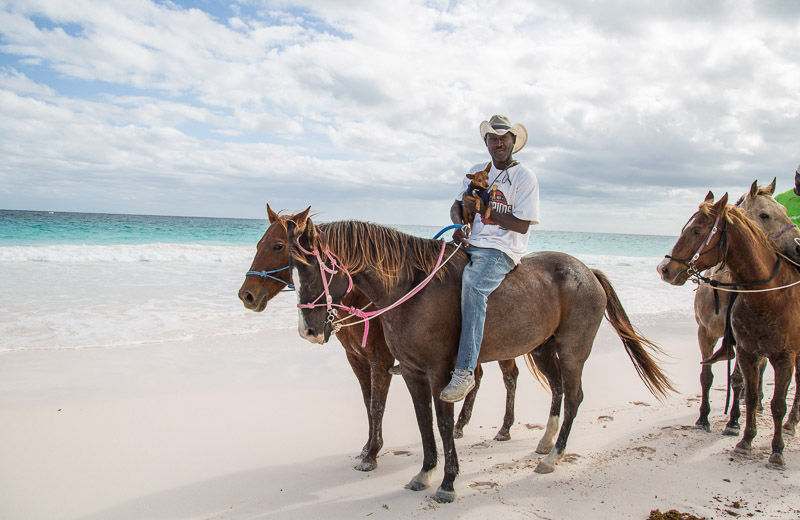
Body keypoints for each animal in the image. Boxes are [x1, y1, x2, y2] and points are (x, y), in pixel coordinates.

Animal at [236, 206, 524, 472]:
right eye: (259, 244)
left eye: (278, 246)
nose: (246, 295)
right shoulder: (357, 358)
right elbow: (368, 402)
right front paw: (367, 446)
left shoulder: (381, 360)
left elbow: (376, 404)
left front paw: (372, 453)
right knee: (477, 376)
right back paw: (461, 423)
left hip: (504, 346)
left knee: (509, 376)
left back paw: (504, 427)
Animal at [284, 208, 672, 504]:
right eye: (293, 271)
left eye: (314, 269)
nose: (308, 330)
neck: (412, 290)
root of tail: (587, 271)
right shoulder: (411, 372)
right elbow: (423, 421)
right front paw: (425, 472)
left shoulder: (440, 372)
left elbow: (442, 424)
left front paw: (448, 483)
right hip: (543, 349)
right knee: (559, 390)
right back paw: (545, 442)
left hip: (573, 351)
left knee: (574, 396)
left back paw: (553, 456)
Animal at [656, 193, 800, 470]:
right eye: (765, 214)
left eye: (697, 230)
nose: (664, 268)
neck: (767, 295)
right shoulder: (733, 345)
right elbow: (729, 385)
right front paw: (737, 436)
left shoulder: (784, 356)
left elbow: (772, 400)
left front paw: (774, 450)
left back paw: (790, 423)